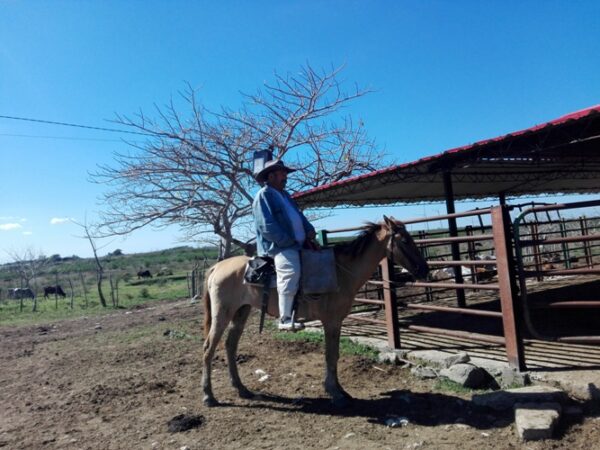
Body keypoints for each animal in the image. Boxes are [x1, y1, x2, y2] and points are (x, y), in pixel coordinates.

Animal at [201, 216, 429, 407]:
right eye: (405, 240)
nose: (424, 270)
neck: (341, 272)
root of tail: (217, 267)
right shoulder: (330, 321)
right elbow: (330, 355)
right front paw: (335, 393)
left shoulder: (337, 322)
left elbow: (334, 355)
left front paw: (341, 391)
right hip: (222, 314)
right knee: (209, 348)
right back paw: (208, 396)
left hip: (241, 312)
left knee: (230, 346)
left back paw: (242, 389)